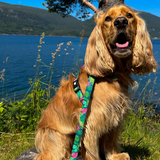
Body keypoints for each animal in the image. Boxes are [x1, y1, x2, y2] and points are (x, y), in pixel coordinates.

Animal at [34, 4, 156, 159]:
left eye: (129, 15)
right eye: (108, 18)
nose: (121, 22)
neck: (111, 75)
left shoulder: (113, 114)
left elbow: (110, 140)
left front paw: (115, 156)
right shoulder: (92, 122)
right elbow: (92, 152)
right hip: (58, 137)